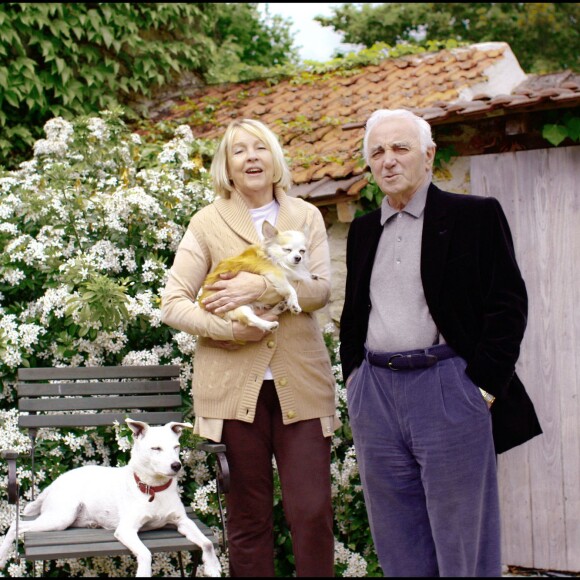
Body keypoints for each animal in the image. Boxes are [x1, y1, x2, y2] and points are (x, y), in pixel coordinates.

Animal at [0, 420, 221, 576]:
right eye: (156, 448)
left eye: (176, 446)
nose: (176, 466)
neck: (153, 489)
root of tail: (55, 482)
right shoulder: (126, 530)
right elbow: (146, 553)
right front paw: (143, 572)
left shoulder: (183, 521)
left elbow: (207, 543)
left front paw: (213, 567)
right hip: (60, 517)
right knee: (16, 526)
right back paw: (2, 557)